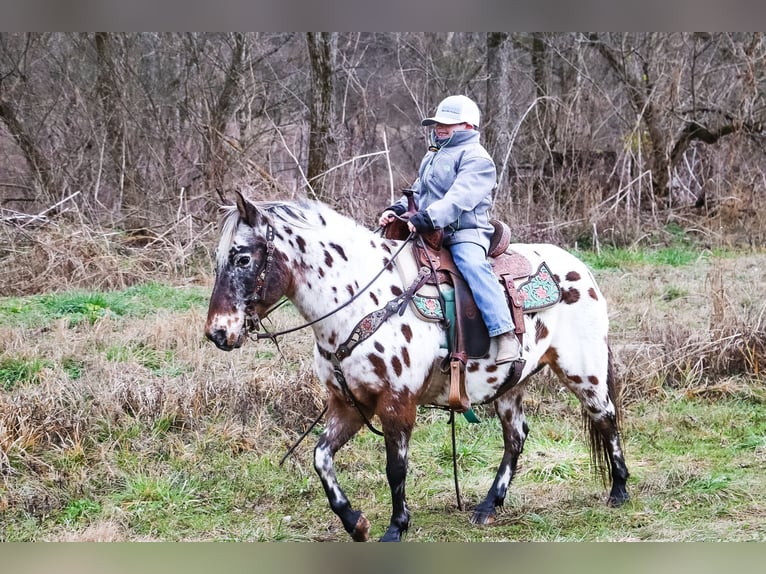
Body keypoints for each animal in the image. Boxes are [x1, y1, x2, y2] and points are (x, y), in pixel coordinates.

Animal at [204, 194, 632, 544]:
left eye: (242, 258)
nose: (217, 332)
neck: (360, 304)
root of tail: (581, 269)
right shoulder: (348, 404)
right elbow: (321, 458)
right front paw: (355, 522)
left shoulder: (397, 403)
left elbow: (396, 468)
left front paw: (397, 526)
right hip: (510, 385)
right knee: (516, 437)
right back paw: (488, 506)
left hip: (584, 372)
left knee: (606, 418)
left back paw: (619, 491)